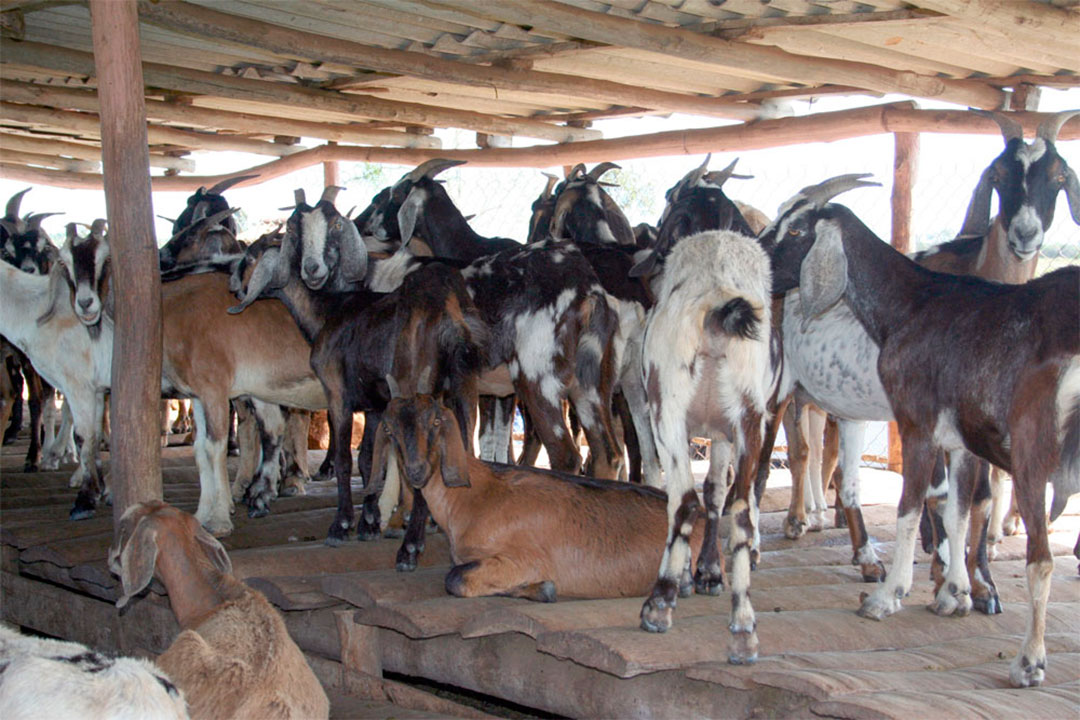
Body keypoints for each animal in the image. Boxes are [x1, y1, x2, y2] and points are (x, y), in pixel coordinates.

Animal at [371, 390, 708, 600]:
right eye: (390, 431)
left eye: (436, 422)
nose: (416, 470)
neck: (473, 497)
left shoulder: (522, 559)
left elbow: (454, 578)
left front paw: (542, 589)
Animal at [630, 231, 777, 669]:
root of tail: (717, 298)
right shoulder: (725, 434)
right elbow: (716, 492)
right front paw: (709, 572)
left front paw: (685, 579)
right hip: (750, 414)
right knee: (740, 508)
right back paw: (743, 628)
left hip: (670, 408)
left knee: (682, 501)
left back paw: (659, 604)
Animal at [773, 171, 1075, 690]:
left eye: (795, 229)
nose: (753, 260)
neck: (911, 305)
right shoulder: (958, 442)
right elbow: (954, 512)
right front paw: (955, 593)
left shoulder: (917, 427)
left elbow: (911, 510)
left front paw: (889, 596)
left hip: (1033, 458)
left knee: (1041, 557)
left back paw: (1029, 661)